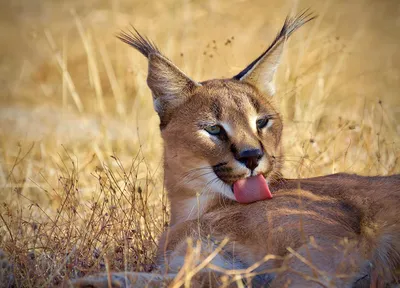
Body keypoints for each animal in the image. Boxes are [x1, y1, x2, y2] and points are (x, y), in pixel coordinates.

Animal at [72, 10, 400, 286]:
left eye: (262, 121)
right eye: (214, 129)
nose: (252, 156)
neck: (195, 207)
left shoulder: (329, 248)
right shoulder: (207, 265)